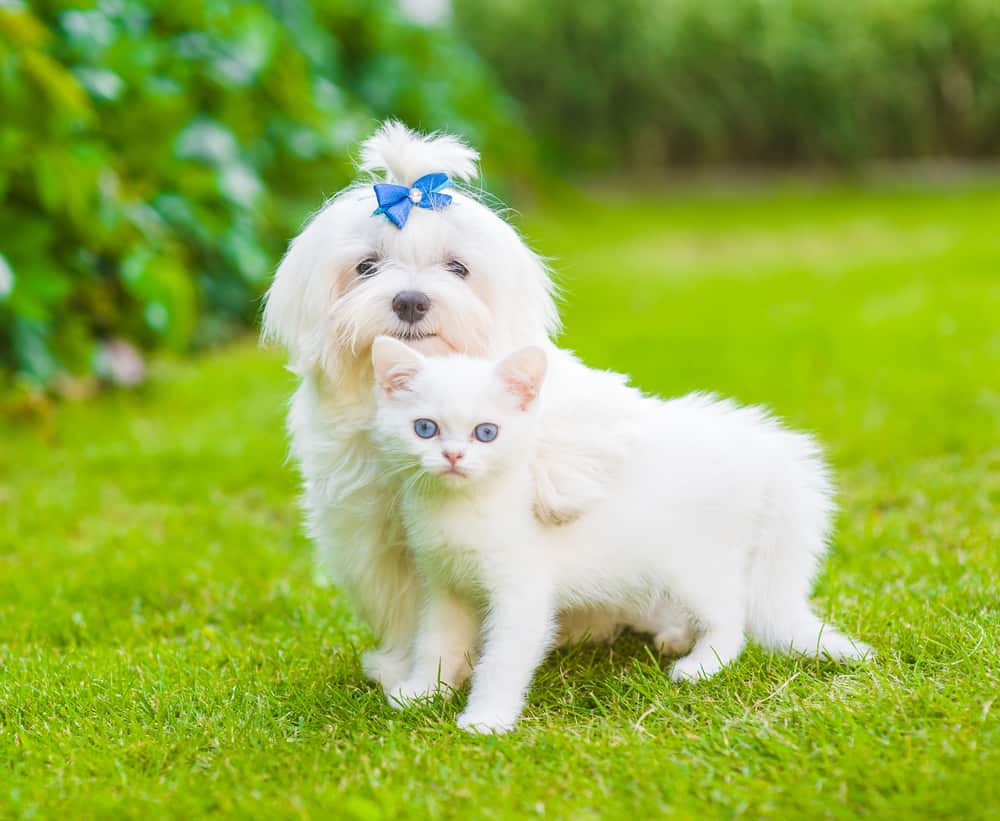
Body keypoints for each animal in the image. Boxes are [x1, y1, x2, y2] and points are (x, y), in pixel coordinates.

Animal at [260, 120, 632, 684]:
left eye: (457, 267)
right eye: (366, 267)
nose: (411, 301)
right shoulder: (379, 540)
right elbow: (409, 607)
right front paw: (408, 668)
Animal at [372, 336, 872, 732]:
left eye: (487, 432)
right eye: (425, 428)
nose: (453, 457)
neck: (461, 508)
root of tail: (762, 446)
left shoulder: (522, 593)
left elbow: (503, 658)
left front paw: (486, 719)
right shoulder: (445, 586)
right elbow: (435, 642)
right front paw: (420, 691)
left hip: (692, 560)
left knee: (732, 614)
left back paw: (703, 664)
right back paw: (679, 638)